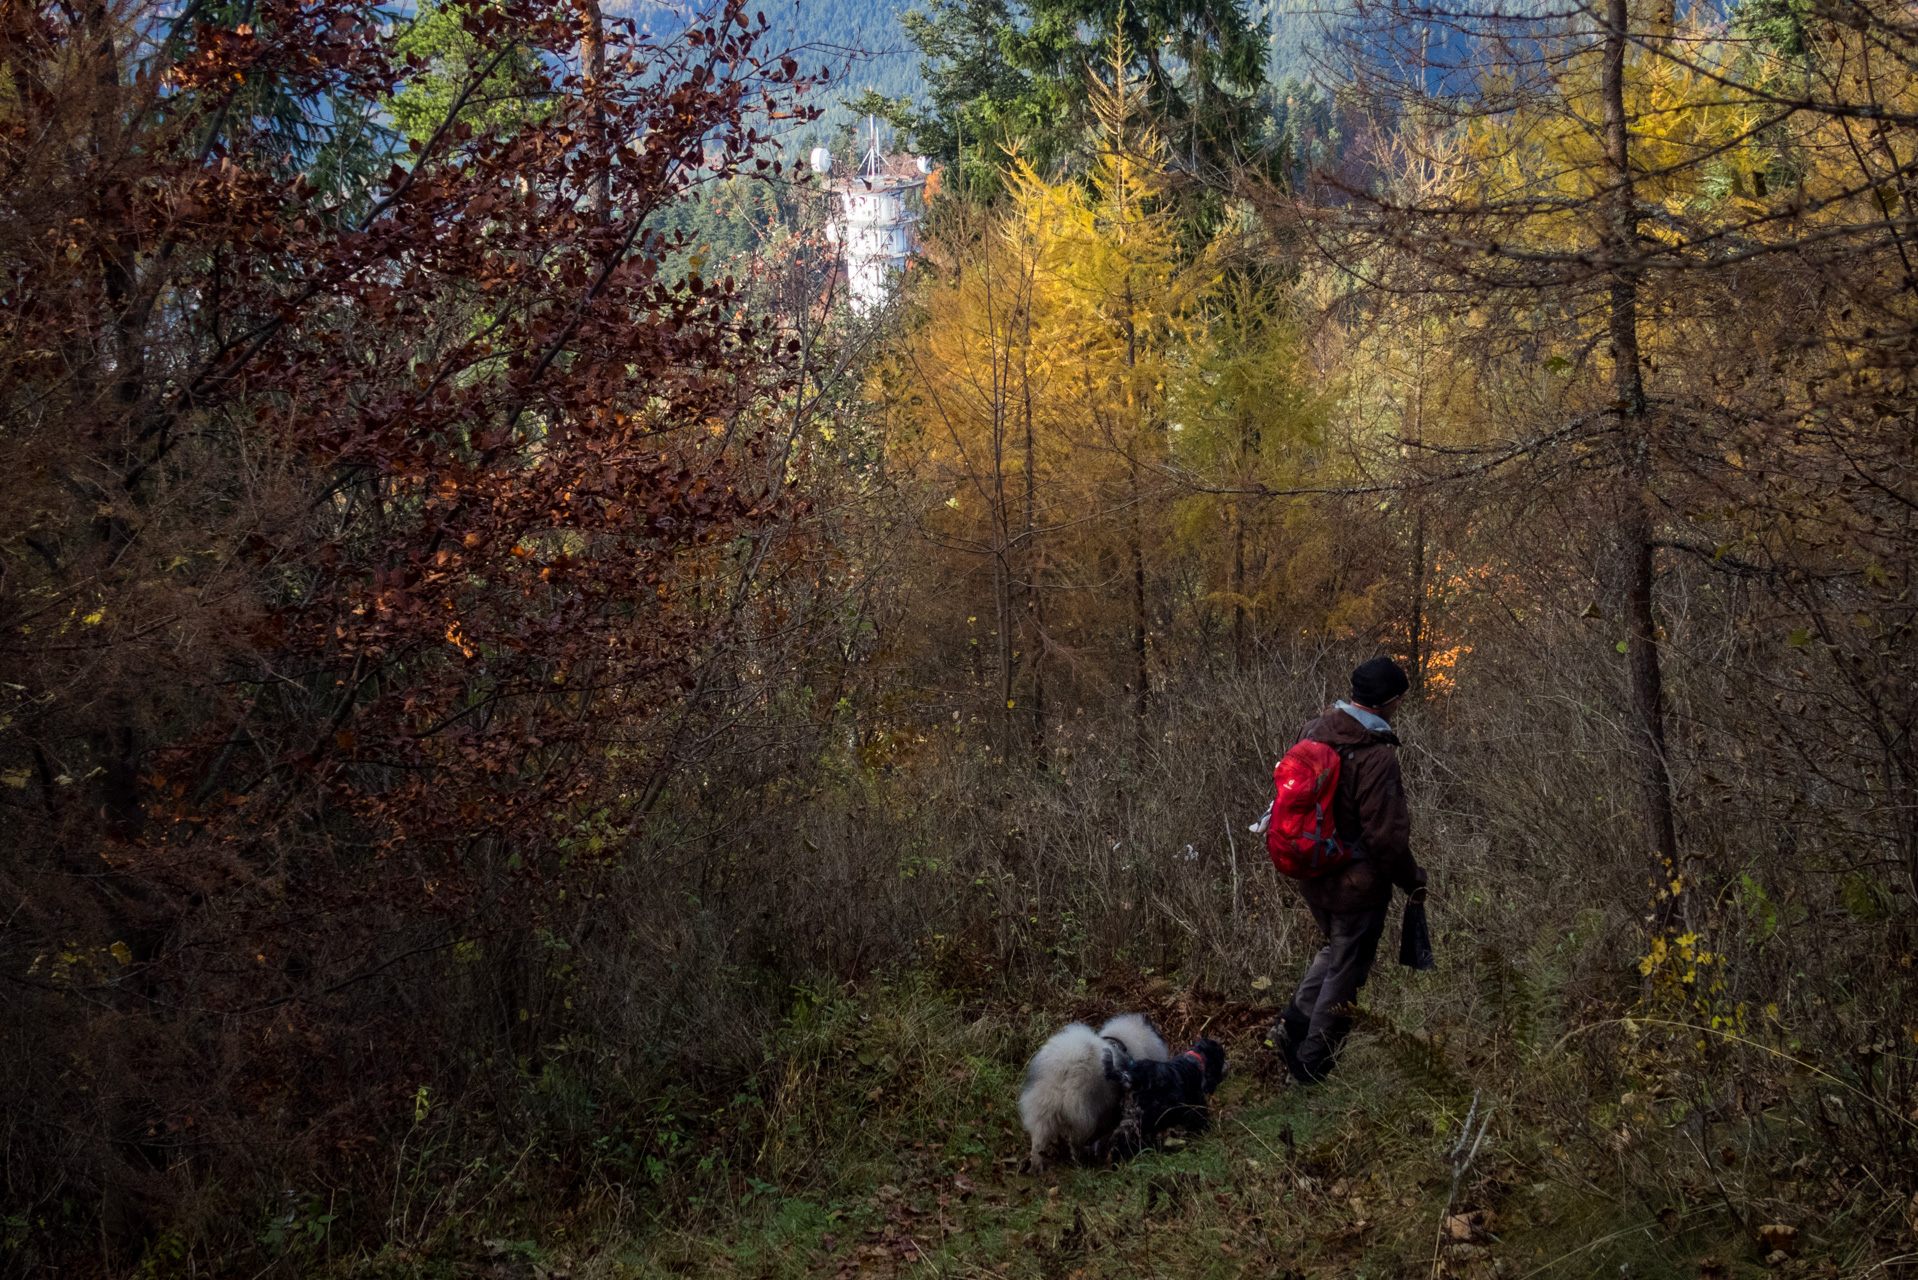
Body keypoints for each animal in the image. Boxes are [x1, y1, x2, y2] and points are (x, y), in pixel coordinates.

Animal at [1020, 1013, 1166, 1174]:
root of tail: (1065, 1067)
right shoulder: (1110, 1117)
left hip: (1042, 1112)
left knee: (1038, 1144)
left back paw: (1035, 1168)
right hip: (1081, 1117)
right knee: (1075, 1144)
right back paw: (1081, 1164)